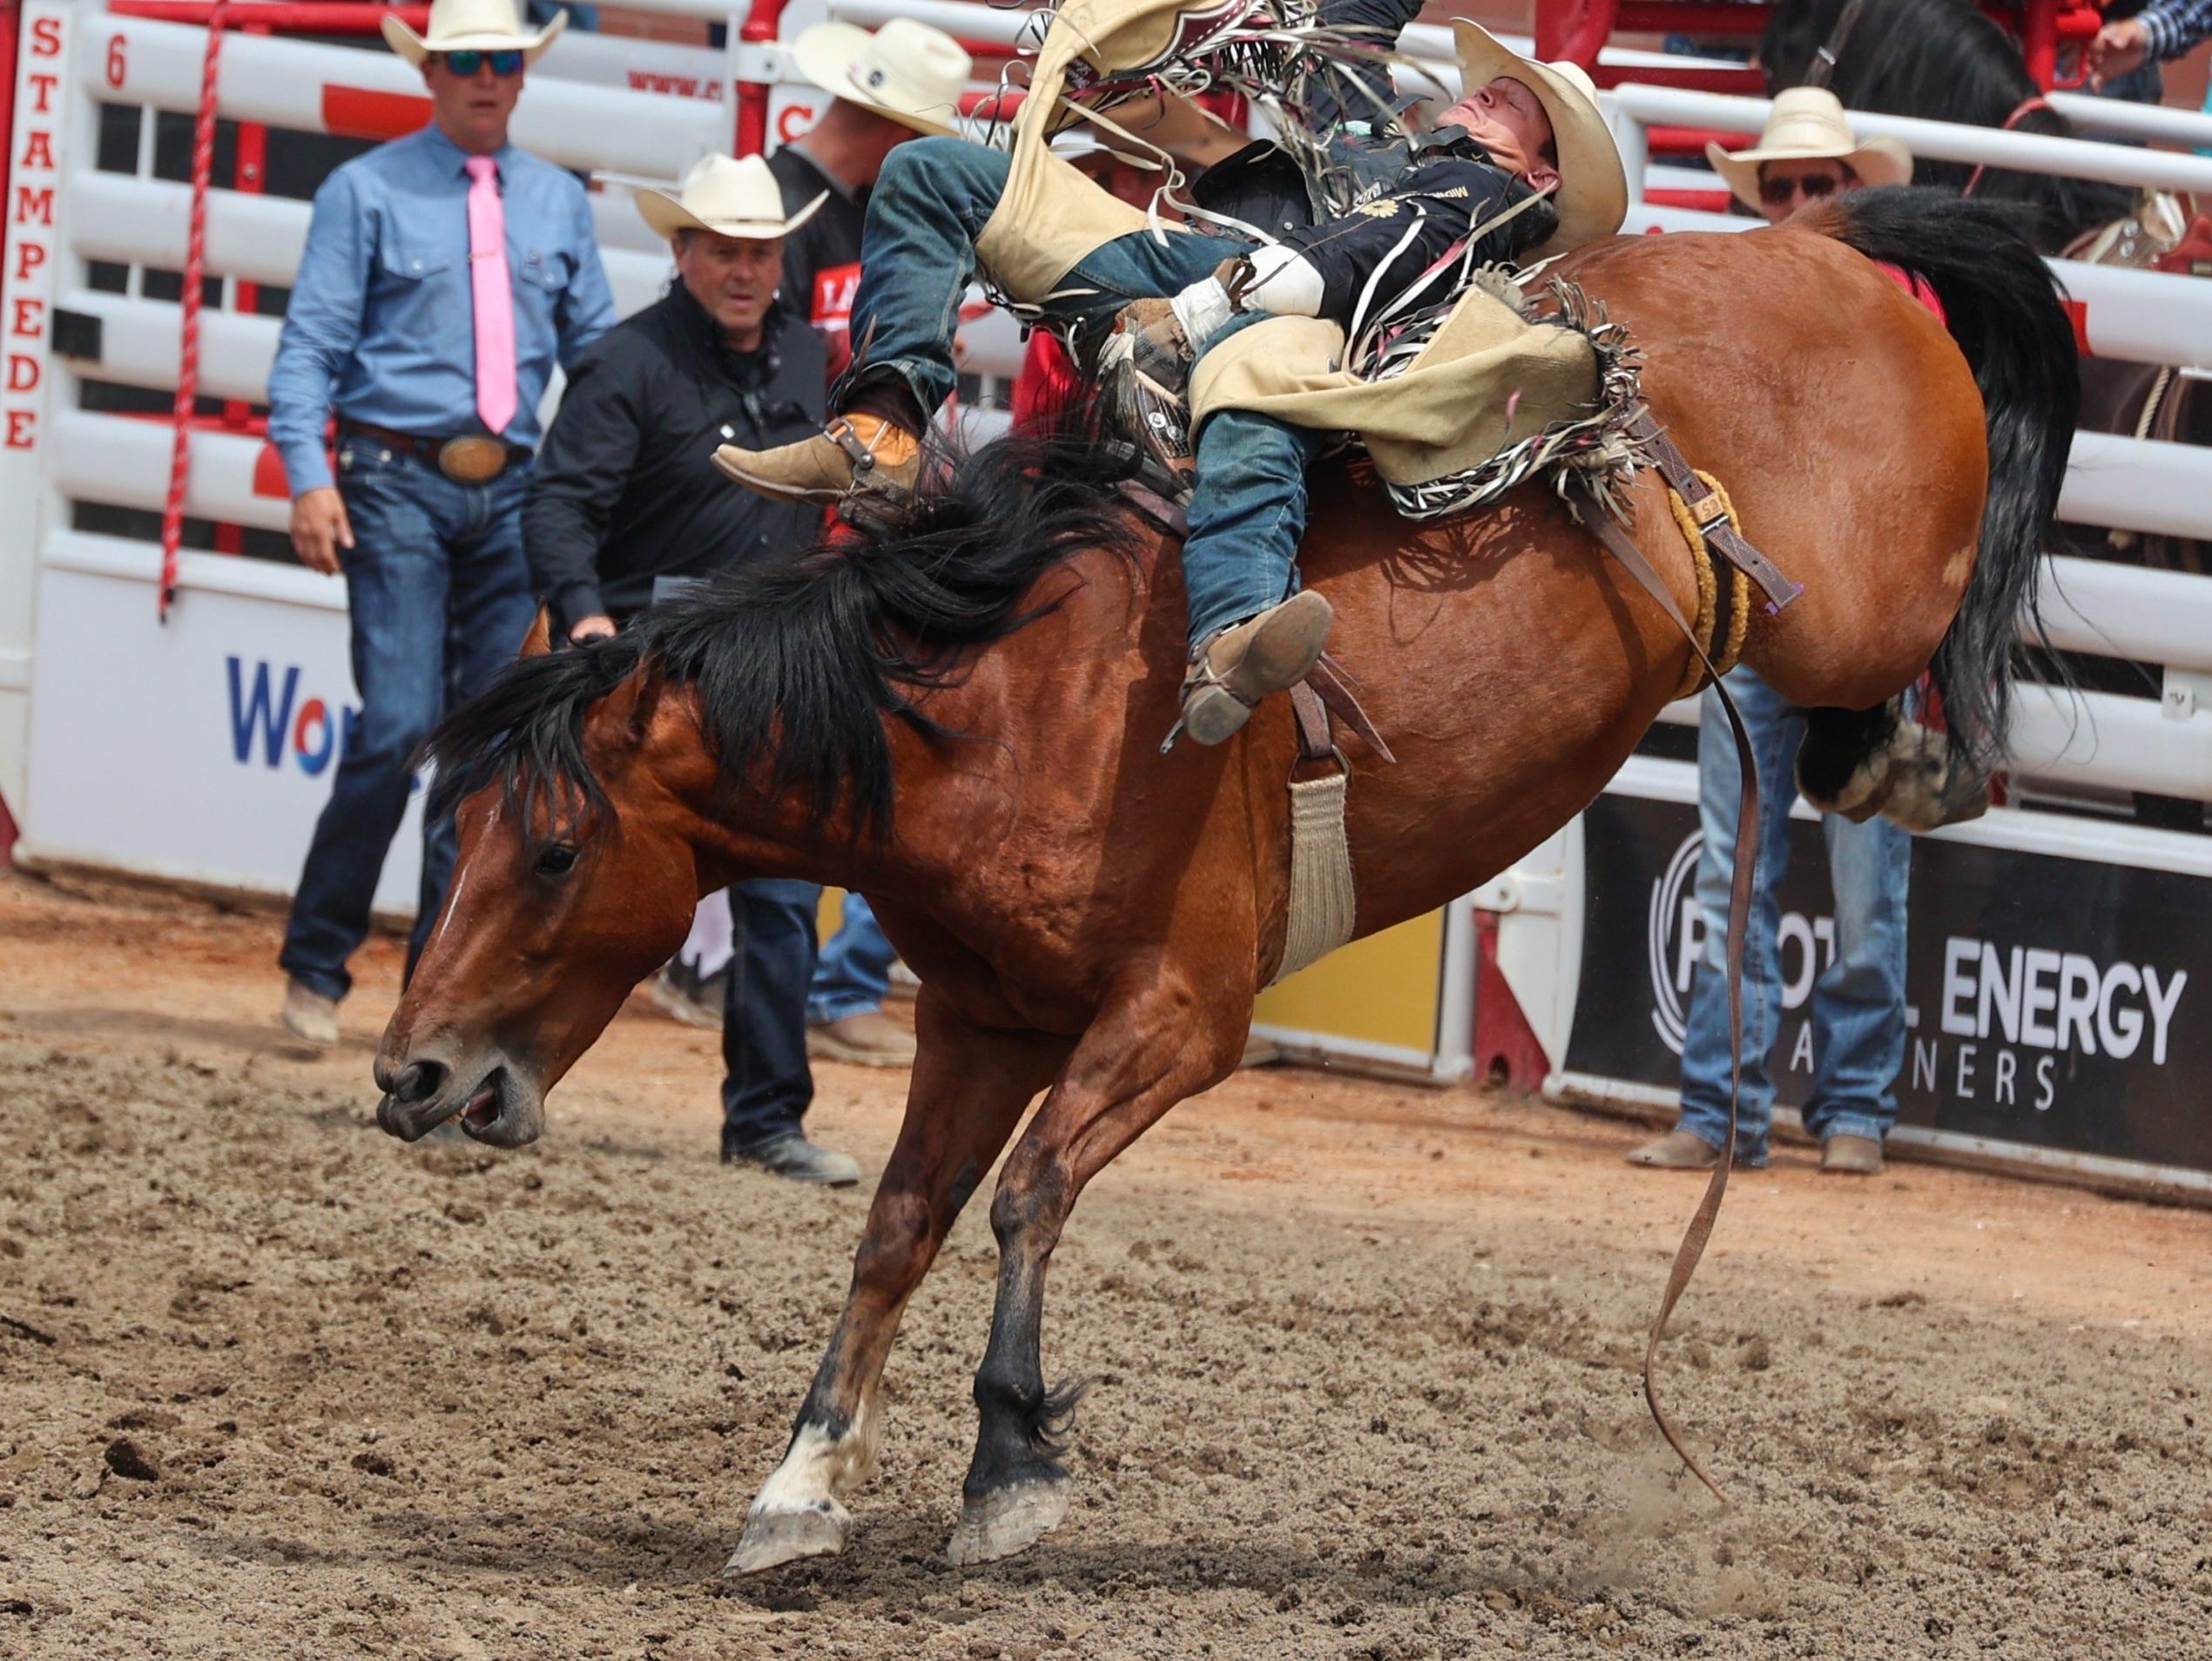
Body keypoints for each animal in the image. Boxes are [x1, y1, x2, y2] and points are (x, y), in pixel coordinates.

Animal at [375, 194, 2070, 1574]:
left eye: (553, 848)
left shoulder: (1182, 1016)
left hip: (1852, 609)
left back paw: (1917, 757)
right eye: (452, 831)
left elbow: (1030, 1194)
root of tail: (1823, 245)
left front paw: (1010, 1463)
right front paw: (799, 1486)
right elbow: (905, 1222)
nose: (410, 1074)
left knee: (1907, 655)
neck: (1014, 703)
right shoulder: (982, 1016)